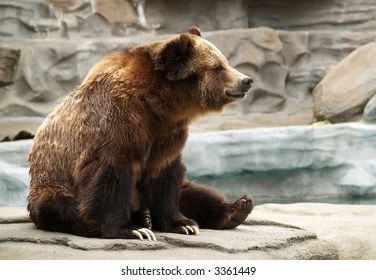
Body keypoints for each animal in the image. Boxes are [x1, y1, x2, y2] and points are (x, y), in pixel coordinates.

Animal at [27, 26, 254, 241]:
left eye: (225, 62)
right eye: (218, 67)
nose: (247, 80)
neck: (156, 104)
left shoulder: (165, 135)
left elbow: (166, 178)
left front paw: (184, 224)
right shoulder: (118, 124)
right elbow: (110, 176)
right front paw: (131, 230)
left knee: (192, 192)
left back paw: (237, 207)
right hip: (52, 184)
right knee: (60, 206)